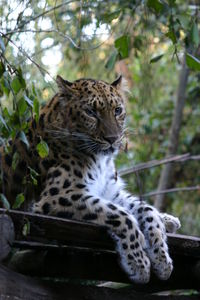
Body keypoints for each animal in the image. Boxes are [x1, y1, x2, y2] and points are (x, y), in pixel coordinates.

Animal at [0, 74, 180, 284]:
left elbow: (146, 209)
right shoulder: (57, 196)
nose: (113, 139)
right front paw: (139, 264)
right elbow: (121, 214)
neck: (101, 160)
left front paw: (162, 258)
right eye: (90, 112)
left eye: (117, 110)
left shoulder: (110, 191)